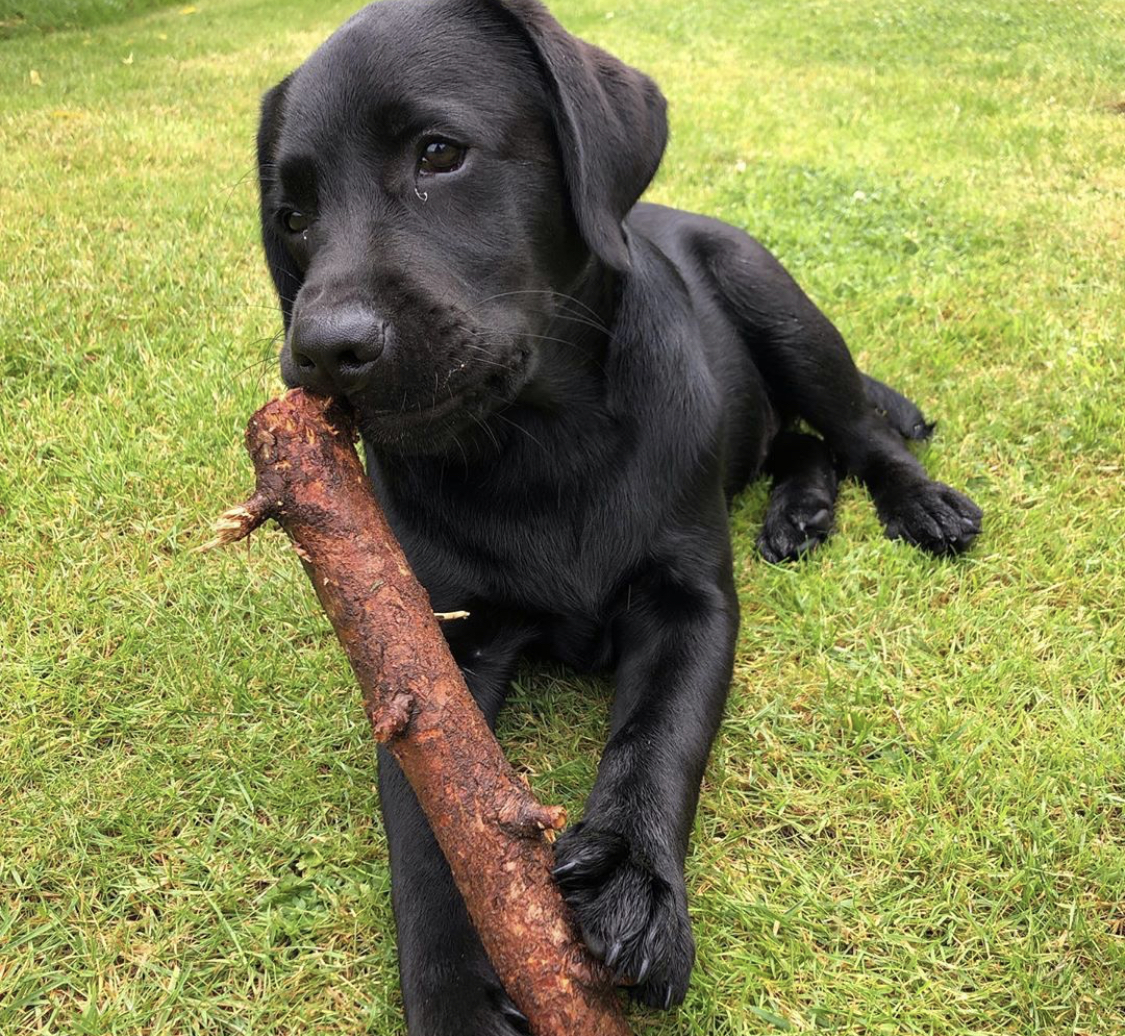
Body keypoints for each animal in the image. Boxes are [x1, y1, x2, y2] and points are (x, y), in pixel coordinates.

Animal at [257, 0, 985, 1025]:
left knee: (855, 429)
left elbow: (657, 738)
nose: (323, 349)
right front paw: (453, 997)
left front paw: (634, 884)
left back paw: (917, 503)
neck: (540, 445)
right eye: (293, 219)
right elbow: (434, 826)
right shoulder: (421, 657)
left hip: (778, 304)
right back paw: (798, 512)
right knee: (796, 445)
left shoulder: (691, 602)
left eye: (439, 153)